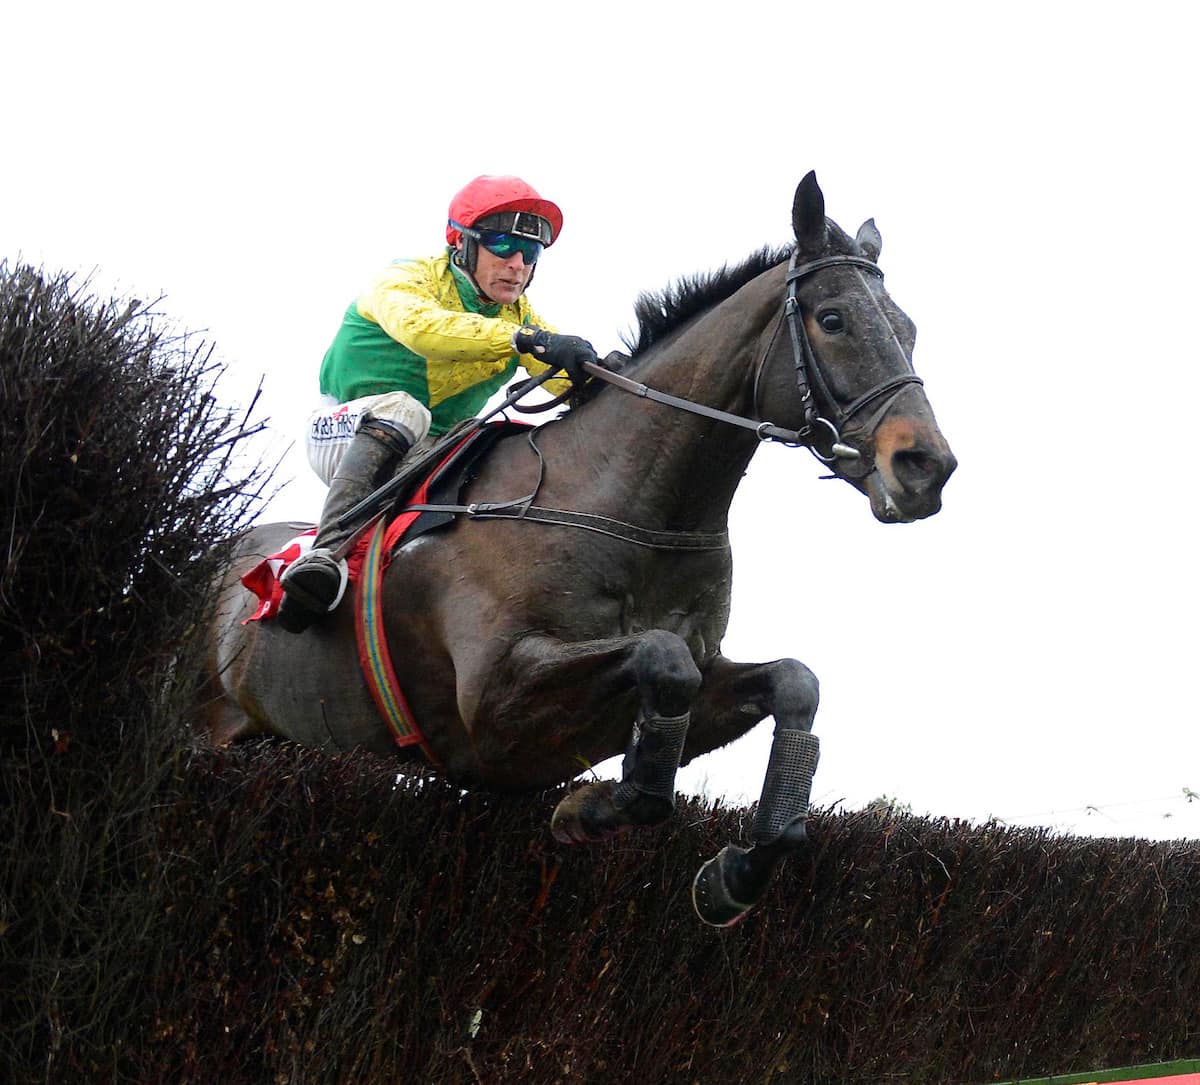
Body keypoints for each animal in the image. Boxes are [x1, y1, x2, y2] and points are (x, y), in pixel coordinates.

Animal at [204, 171, 955, 921]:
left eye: (910, 329)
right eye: (833, 319)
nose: (927, 466)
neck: (626, 505)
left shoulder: (686, 678)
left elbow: (793, 681)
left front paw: (735, 869)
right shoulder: (493, 704)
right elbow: (663, 659)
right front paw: (592, 807)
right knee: (394, 414)